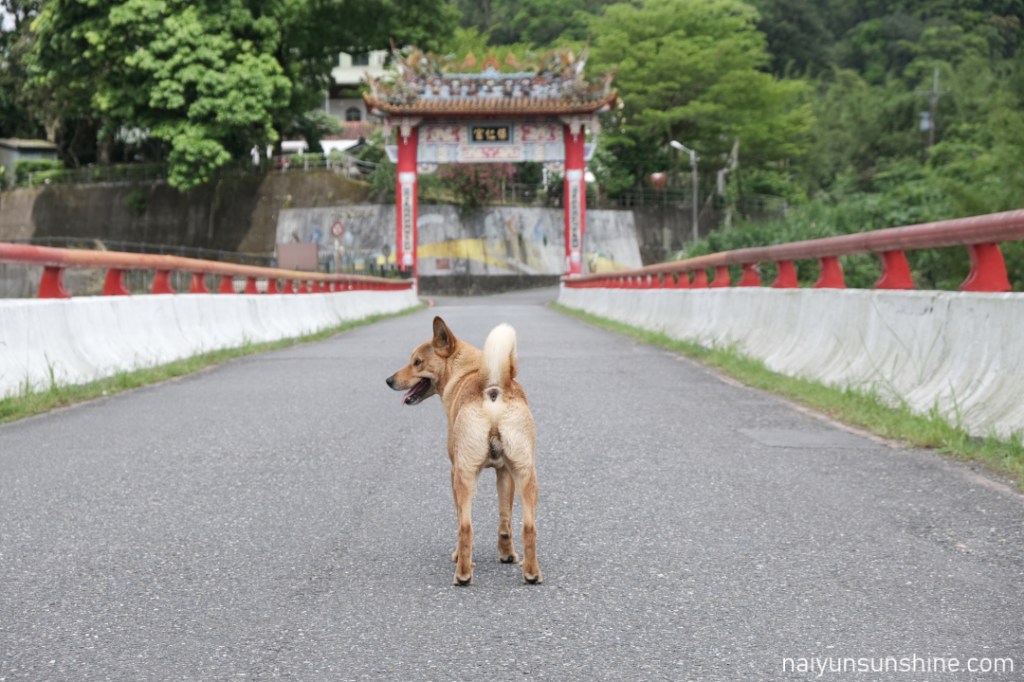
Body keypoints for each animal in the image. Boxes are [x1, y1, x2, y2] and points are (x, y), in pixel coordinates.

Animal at [386, 316, 542, 586]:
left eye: (417, 362)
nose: (388, 380)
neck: (467, 371)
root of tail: (493, 388)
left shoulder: (454, 472)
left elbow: (460, 519)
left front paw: (459, 555)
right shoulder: (504, 473)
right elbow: (505, 522)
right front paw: (507, 556)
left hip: (464, 476)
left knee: (466, 527)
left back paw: (463, 574)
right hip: (525, 475)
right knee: (528, 527)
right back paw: (531, 573)